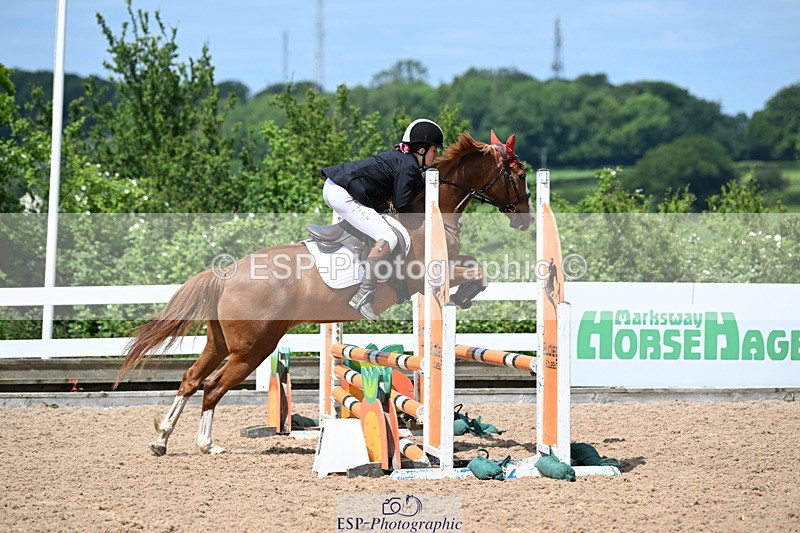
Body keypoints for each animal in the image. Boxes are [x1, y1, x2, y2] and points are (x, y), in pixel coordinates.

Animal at [114, 130, 533, 456]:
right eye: (521, 174)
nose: (526, 219)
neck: (430, 211)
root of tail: (228, 274)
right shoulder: (422, 275)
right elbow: (477, 271)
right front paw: (461, 296)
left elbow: (475, 265)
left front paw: (463, 295)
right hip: (253, 348)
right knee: (213, 387)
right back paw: (207, 444)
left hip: (219, 342)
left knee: (190, 379)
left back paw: (161, 440)